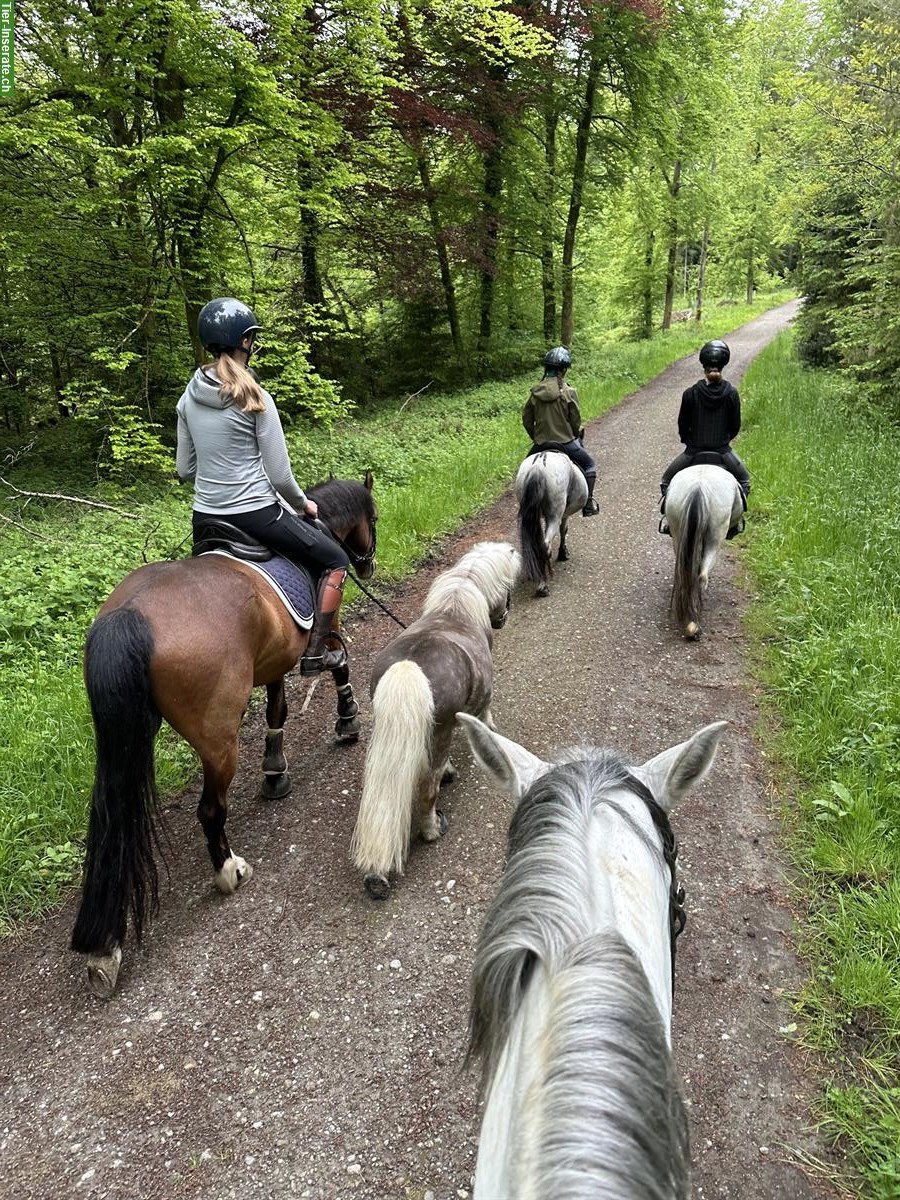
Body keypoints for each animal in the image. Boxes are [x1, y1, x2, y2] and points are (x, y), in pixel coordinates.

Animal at [70, 472, 376, 998]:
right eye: (372, 517)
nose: (368, 564)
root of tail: (131, 614)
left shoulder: (273, 658)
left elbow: (277, 708)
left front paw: (275, 771)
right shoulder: (324, 627)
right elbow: (339, 663)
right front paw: (347, 719)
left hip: (123, 734)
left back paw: (105, 949)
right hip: (217, 736)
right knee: (211, 810)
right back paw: (228, 869)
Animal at [352, 540, 520, 897]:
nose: (503, 617)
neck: (457, 605)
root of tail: (409, 668)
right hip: (440, 732)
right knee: (428, 787)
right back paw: (432, 829)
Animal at [513, 451, 592, 597]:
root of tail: (538, 466)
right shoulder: (564, 514)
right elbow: (564, 530)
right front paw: (563, 553)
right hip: (555, 514)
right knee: (545, 545)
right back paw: (543, 586)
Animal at [667, 463, 744, 643]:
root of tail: (698, 488)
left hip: (678, 533)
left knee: (685, 573)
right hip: (716, 535)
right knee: (702, 576)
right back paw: (695, 625)